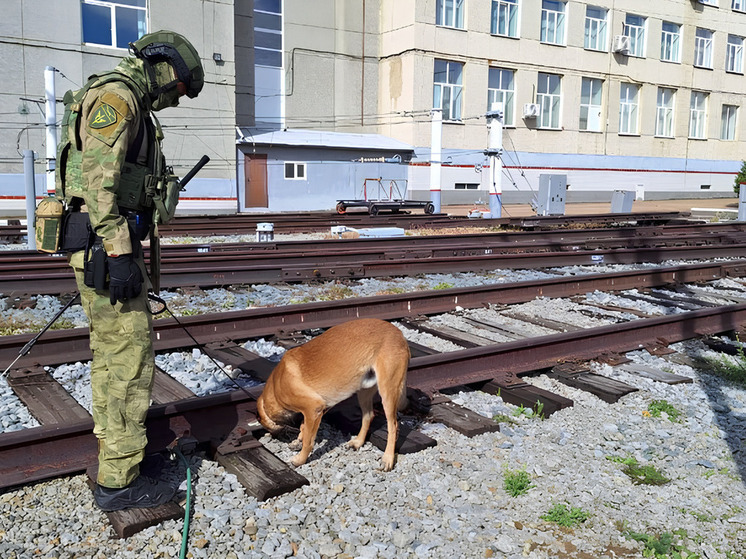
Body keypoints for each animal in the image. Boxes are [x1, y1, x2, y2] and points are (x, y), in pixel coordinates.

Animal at [254, 318, 406, 470]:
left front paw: (300, 459)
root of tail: (399, 333)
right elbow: (304, 427)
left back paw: (387, 458)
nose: (275, 438)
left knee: (393, 425)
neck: (276, 385)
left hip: (387, 391)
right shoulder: (319, 409)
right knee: (368, 416)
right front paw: (298, 440)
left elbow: (308, 441)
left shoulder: (313, 408)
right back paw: (358, 442)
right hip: (364, 391)